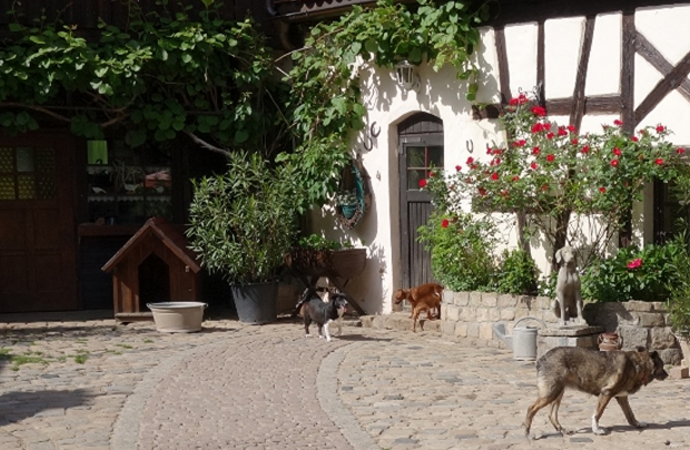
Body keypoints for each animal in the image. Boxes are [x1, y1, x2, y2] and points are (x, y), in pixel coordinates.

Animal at [520, 346, 668, 438]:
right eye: (662, 365)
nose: (667, 375)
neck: (638, 365)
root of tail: (541, 359)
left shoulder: (622, 398)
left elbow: (630, 415)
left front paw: (638, 424)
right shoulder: (606, 393)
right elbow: (597, 414)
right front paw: (596, 430)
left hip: (558, 393)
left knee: (552, 415)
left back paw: (563, 430)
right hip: (551, 393)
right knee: (531, 409)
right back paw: (527, 432)